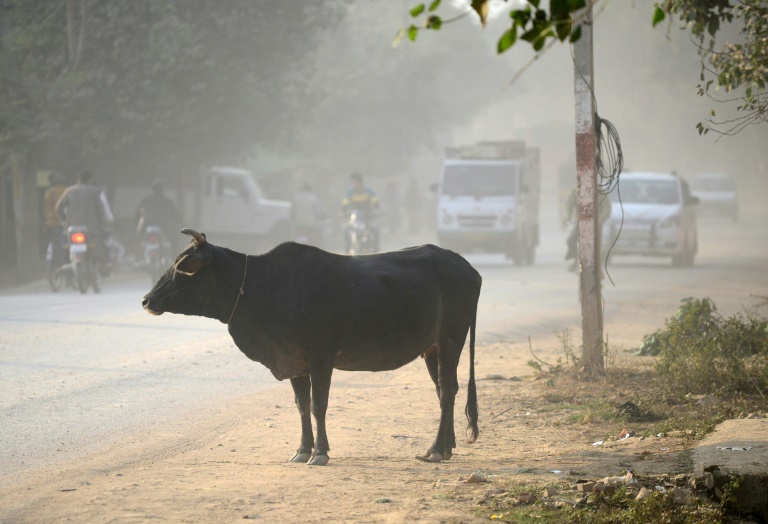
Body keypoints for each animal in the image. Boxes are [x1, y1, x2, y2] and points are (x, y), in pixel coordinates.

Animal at [142, 227, 480, 464]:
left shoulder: (321, 358)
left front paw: (321, 453)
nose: (147, 300)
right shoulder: (295, 362)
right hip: (432, 348)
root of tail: (468, 268)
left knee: (447, 391)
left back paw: (436, 449)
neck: (259, 286)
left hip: (452, 339)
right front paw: (303, 449)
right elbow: (302, 406)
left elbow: (319, 405)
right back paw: (446, 446)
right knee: (445, 389)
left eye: (182, 267)